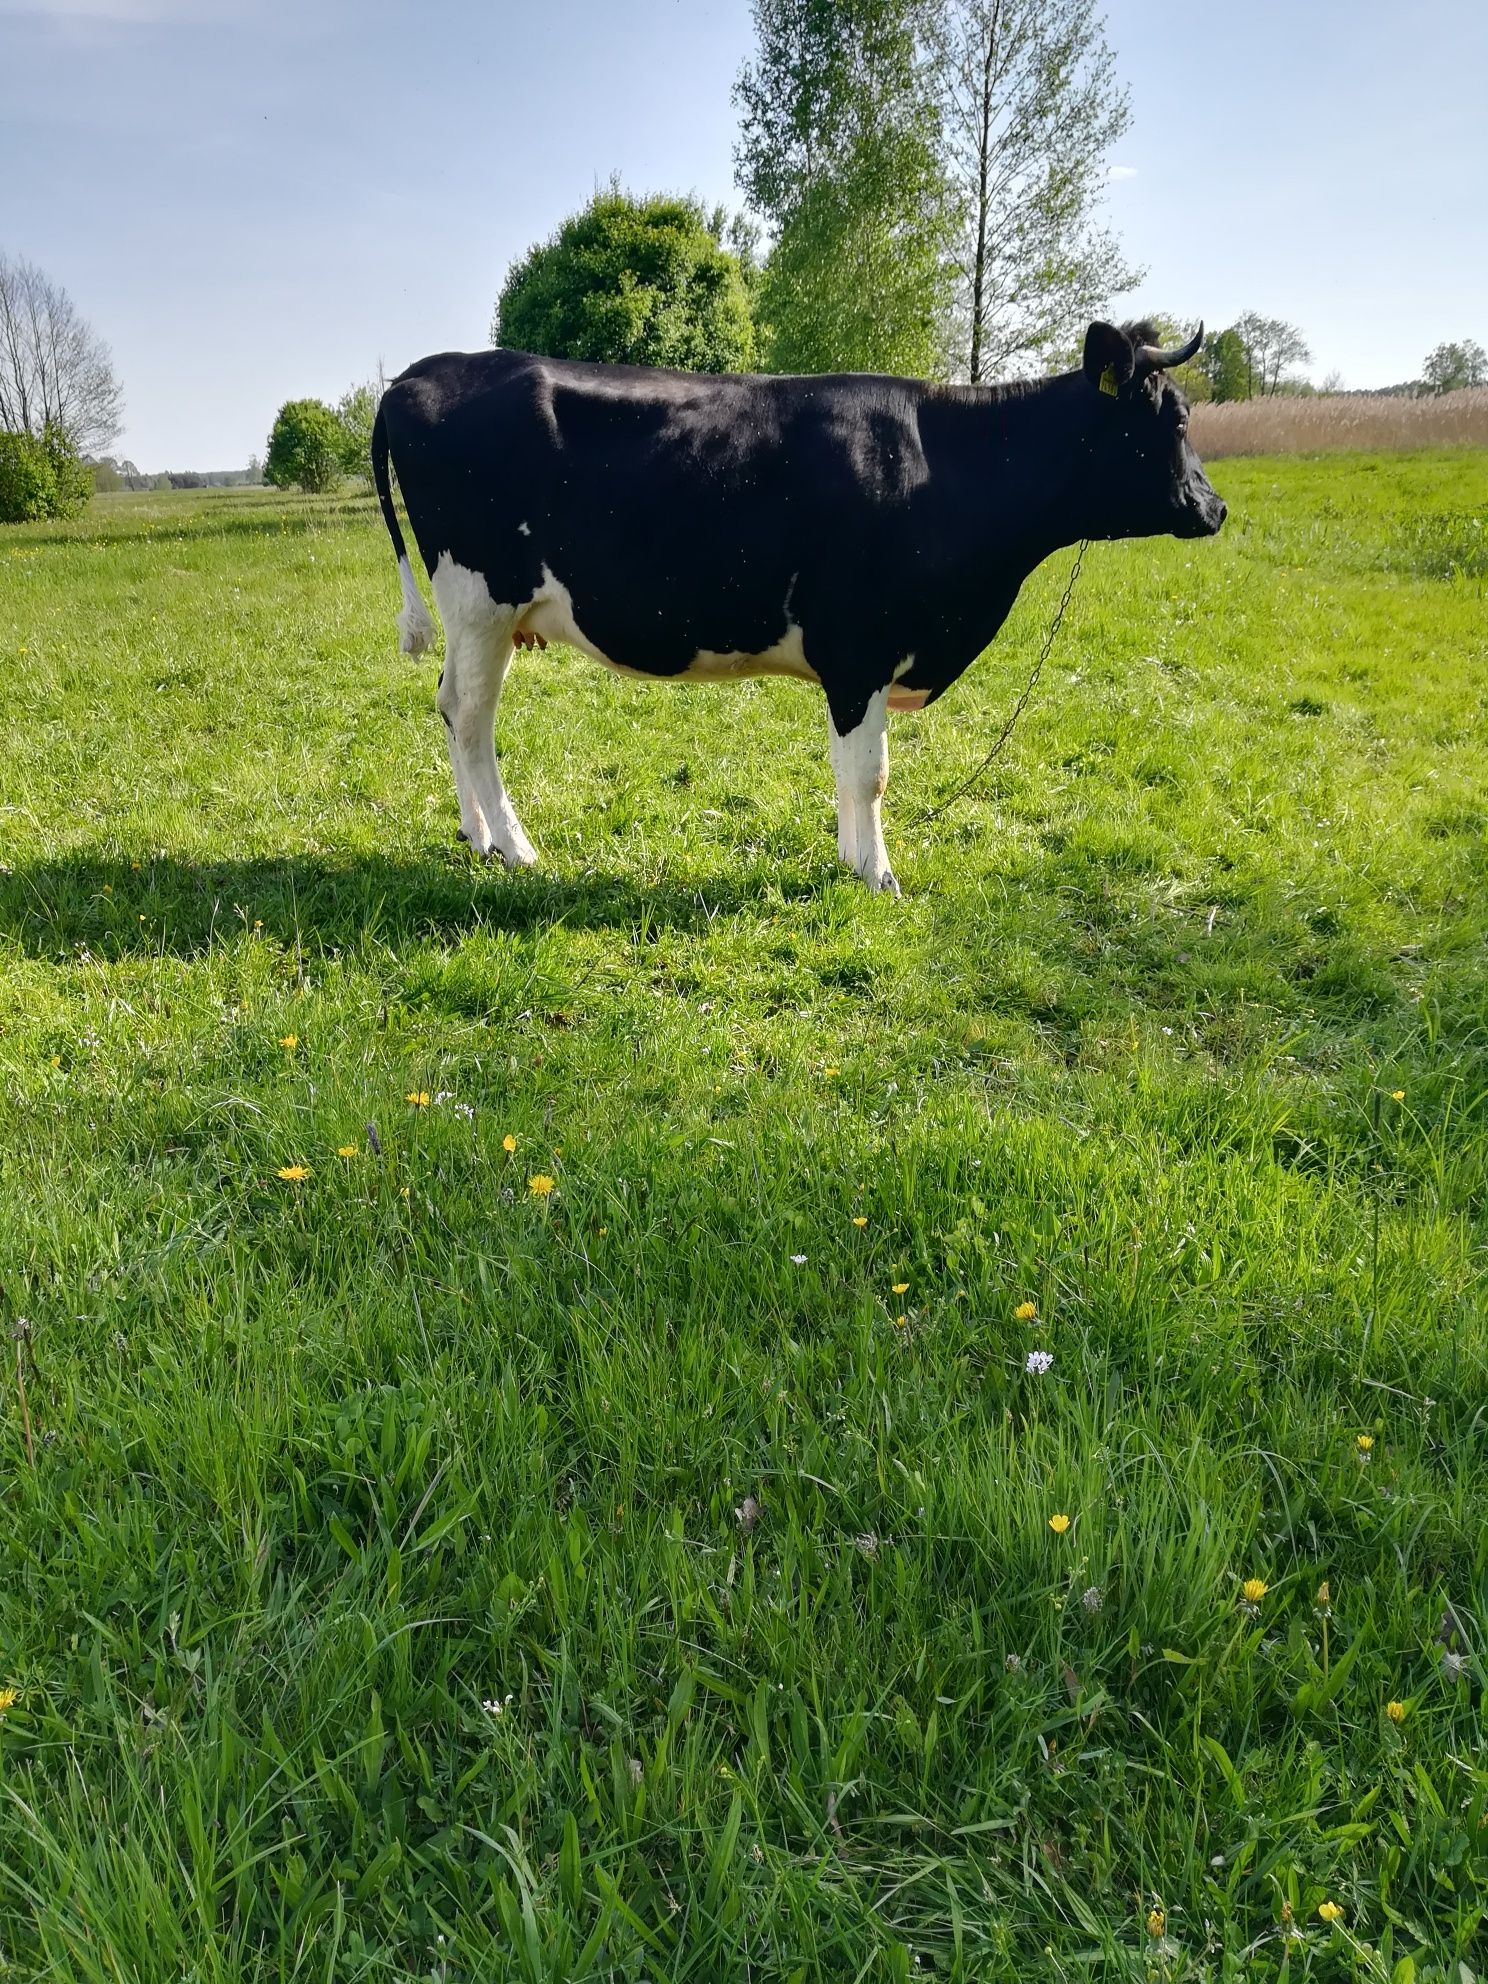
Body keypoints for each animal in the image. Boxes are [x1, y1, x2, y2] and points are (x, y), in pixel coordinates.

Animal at [372, 321, 1222, 896]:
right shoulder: (861, 649)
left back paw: (476, 835)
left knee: (450, 707)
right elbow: (870, 774)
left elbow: (854, 770)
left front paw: (852, 862)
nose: (1214, 509)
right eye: (1177, 422)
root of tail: (419, 373)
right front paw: (877, 876)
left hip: (481, 617)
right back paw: (514, 848)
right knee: (472, 718)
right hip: (482, 600)